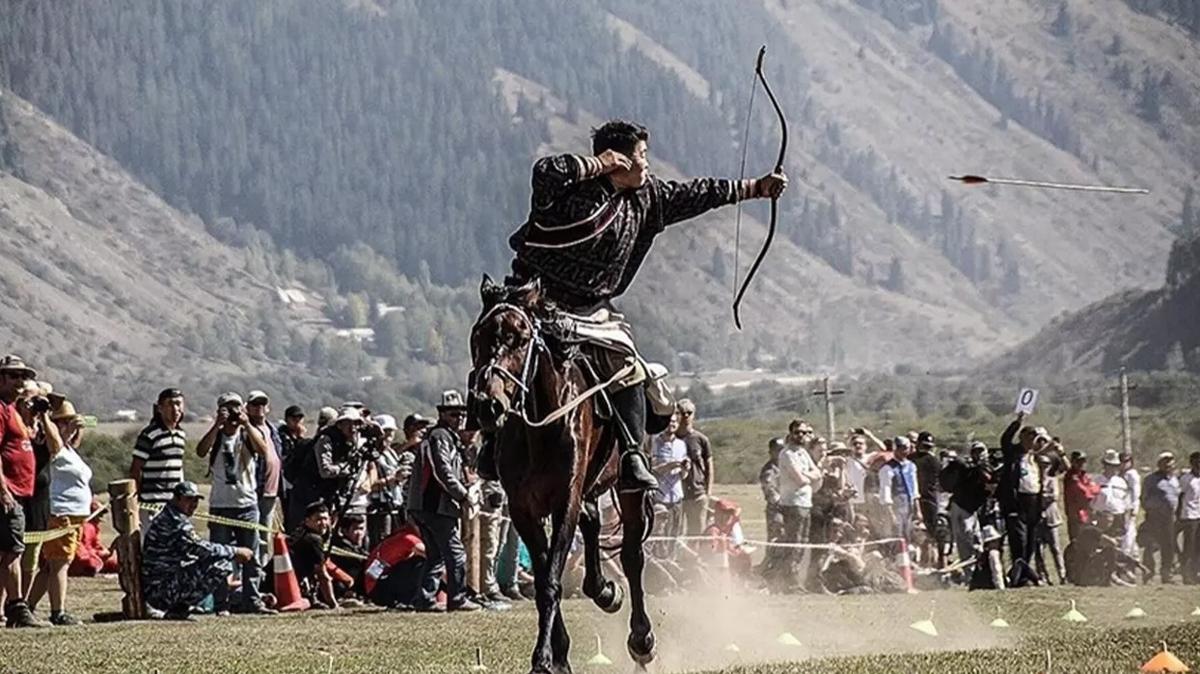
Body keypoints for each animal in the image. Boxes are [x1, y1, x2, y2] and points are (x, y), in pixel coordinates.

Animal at [468, 274, 657, 671]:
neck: (540, 428)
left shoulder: (564, 500)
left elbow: (552, 578)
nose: (488, 406)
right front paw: (557, 655)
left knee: (632, 556)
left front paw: (543, 658)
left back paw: (641, 640)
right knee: (593, 523)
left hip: (628, 489)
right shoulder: (523, 509)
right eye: (478, 336)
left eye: (521, 337)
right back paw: (604, 591)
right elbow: (544, 577)